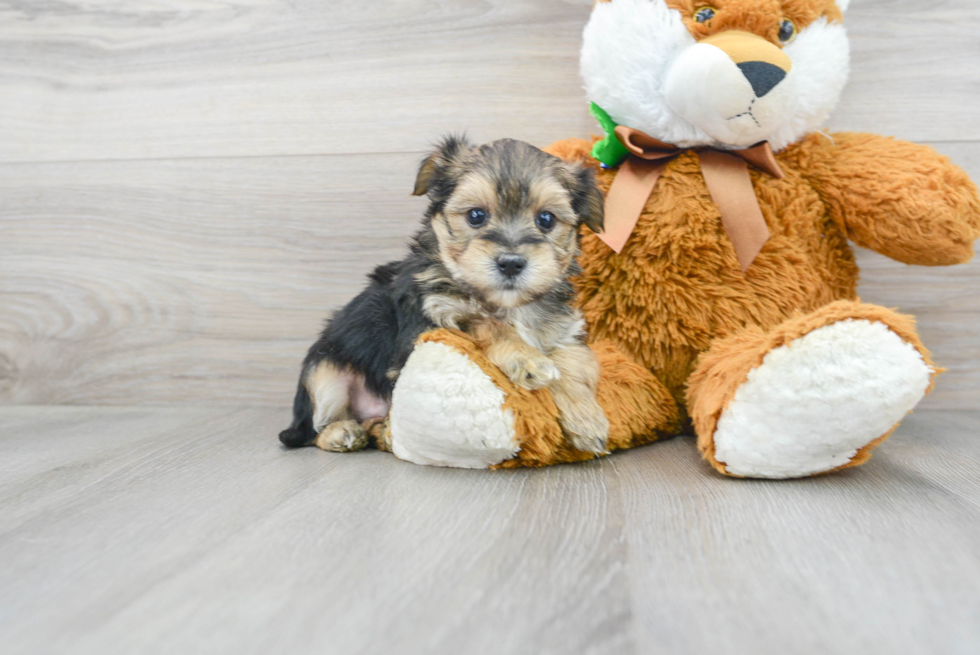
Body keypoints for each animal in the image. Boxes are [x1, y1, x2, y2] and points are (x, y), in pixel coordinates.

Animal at [280, 137, 608, 456]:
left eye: (546, 220)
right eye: (476, 216)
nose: (511, 263)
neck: (508, 304)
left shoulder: (563, 331)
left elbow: (574, 364)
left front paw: (587, 419)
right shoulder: (430, 319)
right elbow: (486, 322)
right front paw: (526, 359)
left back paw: (380, 432)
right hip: (322, 369)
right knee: (311, 429)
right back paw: (341, 433)